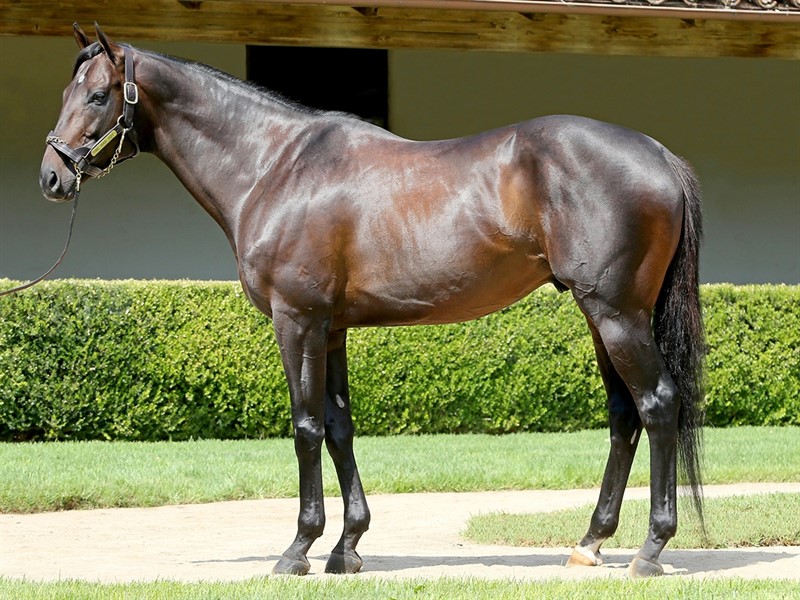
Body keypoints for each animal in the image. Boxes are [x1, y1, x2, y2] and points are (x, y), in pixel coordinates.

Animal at [40, 24, 705, 578]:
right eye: (67, 90)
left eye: (98, 96)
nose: (52, 176)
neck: (274, 167)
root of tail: (658, 154)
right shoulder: (331, 328)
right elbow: (339, 428)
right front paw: (347, 547)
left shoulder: (297, 321)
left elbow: (306, 427)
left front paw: (298, 549)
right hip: (601, 315)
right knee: (624, 415)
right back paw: (590, 543)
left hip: (616, 314)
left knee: (657, 404)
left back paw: (651, 549)